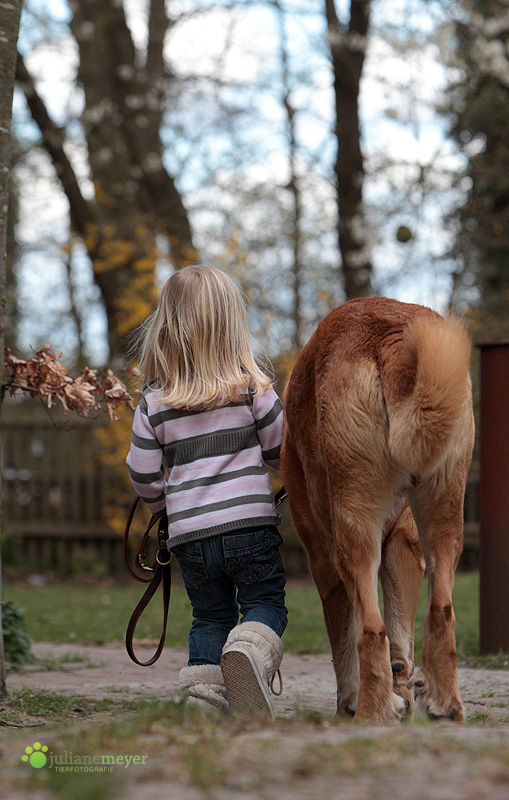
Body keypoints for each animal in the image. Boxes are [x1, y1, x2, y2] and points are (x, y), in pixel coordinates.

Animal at [280, 296, 474, 720]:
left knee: (370, 628)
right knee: (442, 609)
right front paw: (400, 689)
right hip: (444, 513)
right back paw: (443, 703)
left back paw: (372, 711)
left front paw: (350, 702)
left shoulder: (324, 564)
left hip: (353, 531)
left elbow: (344, 644)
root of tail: (390, 336)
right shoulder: (405, 542)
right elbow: (401, 638)